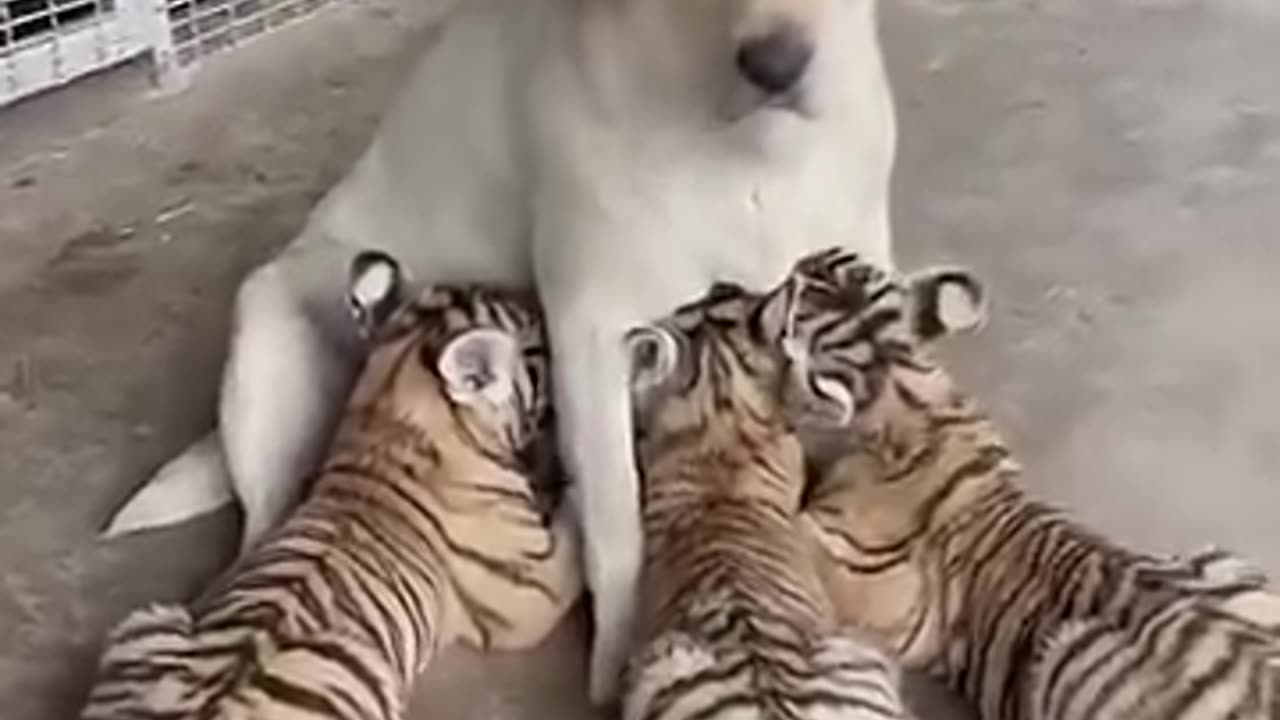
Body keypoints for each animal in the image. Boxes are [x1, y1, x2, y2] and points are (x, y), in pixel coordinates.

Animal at [102, 0, 901, 702]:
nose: (777, 64)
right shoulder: (591, 331)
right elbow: (615, 527)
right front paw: (617, 664)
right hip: (266, 346)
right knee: (257, 535)